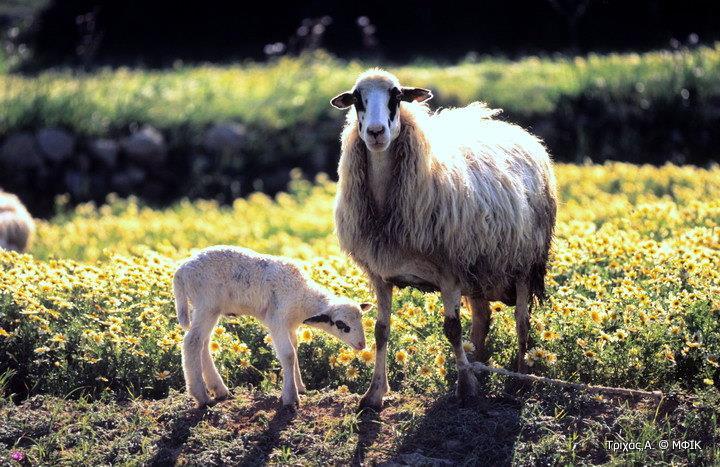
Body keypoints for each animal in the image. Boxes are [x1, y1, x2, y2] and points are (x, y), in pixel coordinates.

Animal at [172, 247, 368, 408]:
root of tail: (180, 272)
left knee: (203, 343)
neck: (303, 297)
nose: (362, 345)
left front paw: (300, 387)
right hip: (207, 305)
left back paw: (219, 389)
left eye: (361, 319)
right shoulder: (277, 321)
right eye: (341, 324)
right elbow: (288, 355)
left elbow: (295, 351)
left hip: (205, 308)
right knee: (192, 342)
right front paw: (291, 398)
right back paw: (202, 397)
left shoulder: (290, 326)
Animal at [330, 68, 556, 410]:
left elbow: (452, 329)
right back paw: (479, 365)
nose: (375, 132)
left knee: (521, 321)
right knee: (482, 318)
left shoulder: (449, 273)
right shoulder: (381, 274)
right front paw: (374, 393)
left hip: (523, 264)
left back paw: (517, 379)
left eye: (397, 96)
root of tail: (515, 130)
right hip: (477, 269)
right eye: (357, 99)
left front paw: (465, 389)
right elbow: (381, 330)